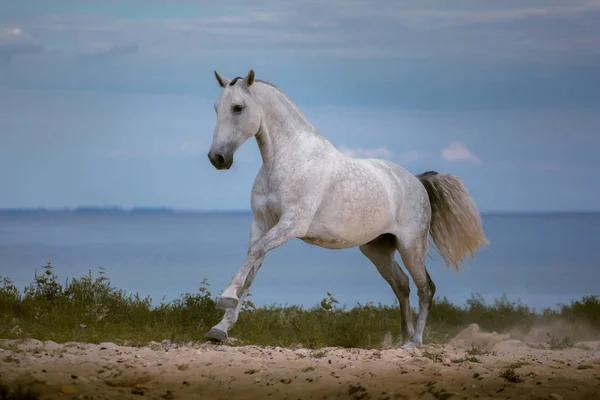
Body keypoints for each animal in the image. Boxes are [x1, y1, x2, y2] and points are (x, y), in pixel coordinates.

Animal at [204, 70, 486, 348]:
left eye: (238, 107)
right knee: (402, 285)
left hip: (412, 247)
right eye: (216, 108)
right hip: (377, 250)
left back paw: (414, 342)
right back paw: (403, 336)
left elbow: (254, 253)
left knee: (426, 288)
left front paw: (225, 297)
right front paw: (220, 329)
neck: (290, 160)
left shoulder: (292, 224)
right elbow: (251, 268)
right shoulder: (262, 224)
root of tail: (416, 181)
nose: (217, 158)